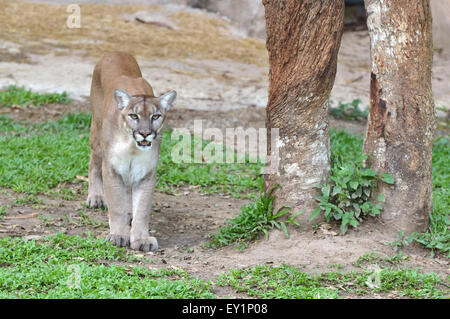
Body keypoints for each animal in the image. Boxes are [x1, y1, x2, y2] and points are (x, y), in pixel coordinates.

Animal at [86, 52, 176, 252]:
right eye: (133, 116)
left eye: (156, 116)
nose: (145, 133)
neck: (132, 147)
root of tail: (116, 52)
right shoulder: (112, 170)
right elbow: (116, 205)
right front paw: (119, 235)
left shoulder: (146, 174)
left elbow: (142, 209)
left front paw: (141, 238)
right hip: (97, 135)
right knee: (93, 161)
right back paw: (96, 197)